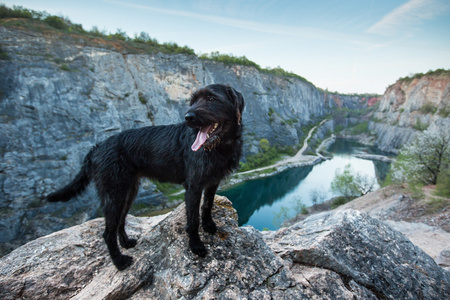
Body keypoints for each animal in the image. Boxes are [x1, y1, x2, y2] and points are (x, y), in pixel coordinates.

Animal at [47, 84, 244, 270]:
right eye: (193, 101)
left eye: (211, 98)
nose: (188, 117)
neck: (219, 147)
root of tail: (97, 148)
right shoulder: (193, 187)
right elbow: (193, 219)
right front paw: (196, 246)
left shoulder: (212, 182)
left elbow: (207, 205)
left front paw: (209, 225)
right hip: (113, 195)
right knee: (107, 232)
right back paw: (119, 261)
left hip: (128, 192)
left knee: (120, 221)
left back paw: (126, 243)